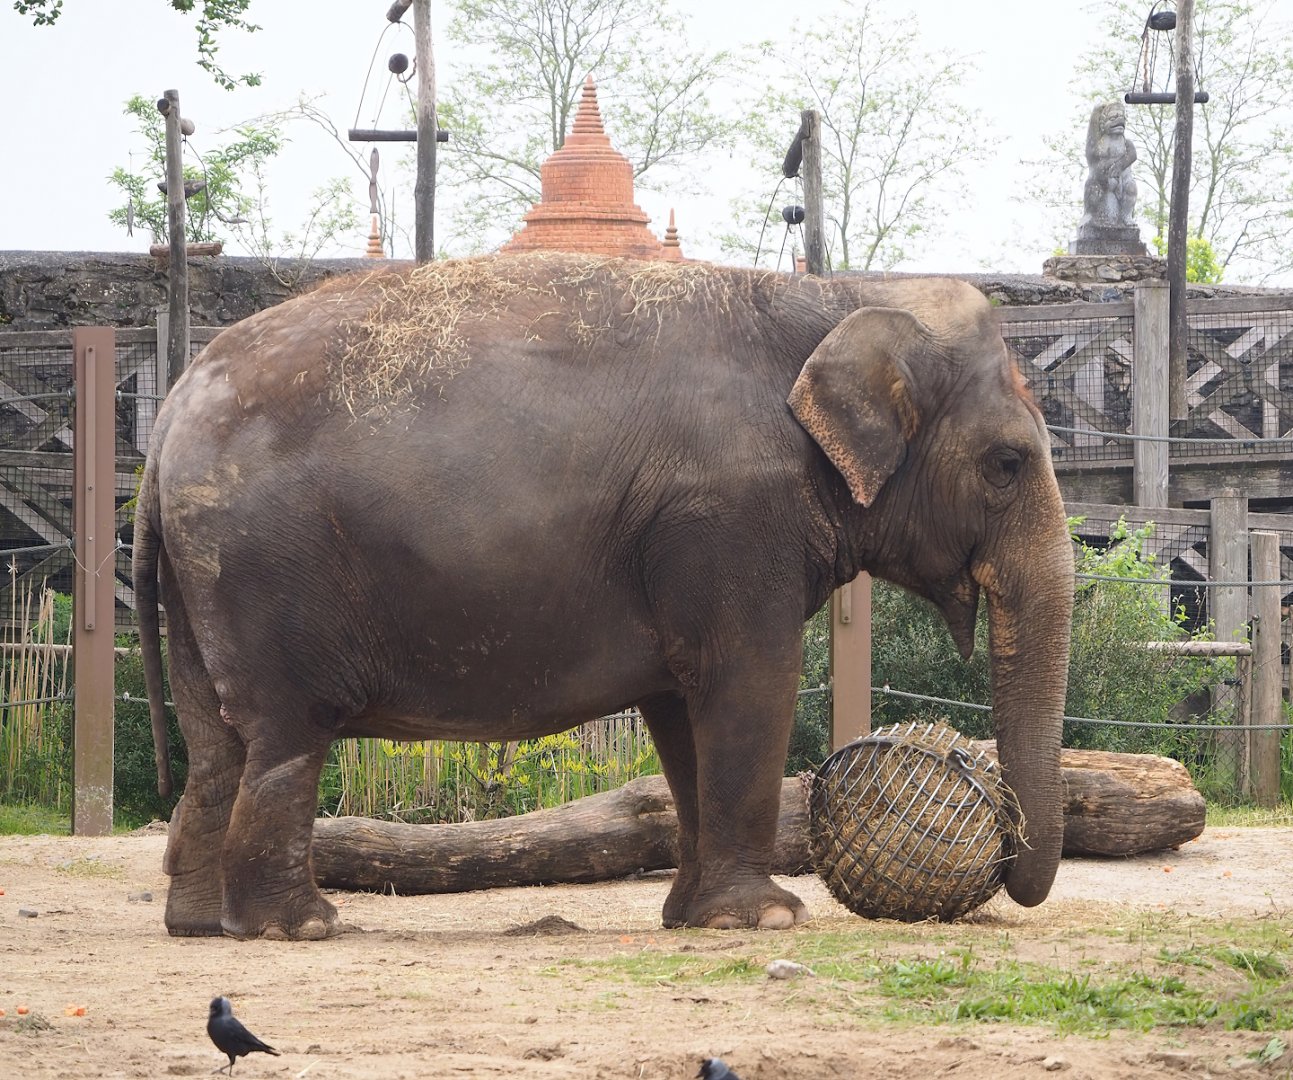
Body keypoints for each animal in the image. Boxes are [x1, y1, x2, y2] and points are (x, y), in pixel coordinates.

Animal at [133, 252, 1074, 940]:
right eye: (1006, 464)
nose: (1006, 862)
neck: (837, 292)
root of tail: (170, 414)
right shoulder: (728, 517)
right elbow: (749, 681)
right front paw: (767, 919)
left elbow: (682, 710)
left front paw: (693, 918)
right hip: (262, 566)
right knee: (286, 736)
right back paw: (301, 928)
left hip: (198, 577)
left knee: (216, 744)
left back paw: (201, 927)